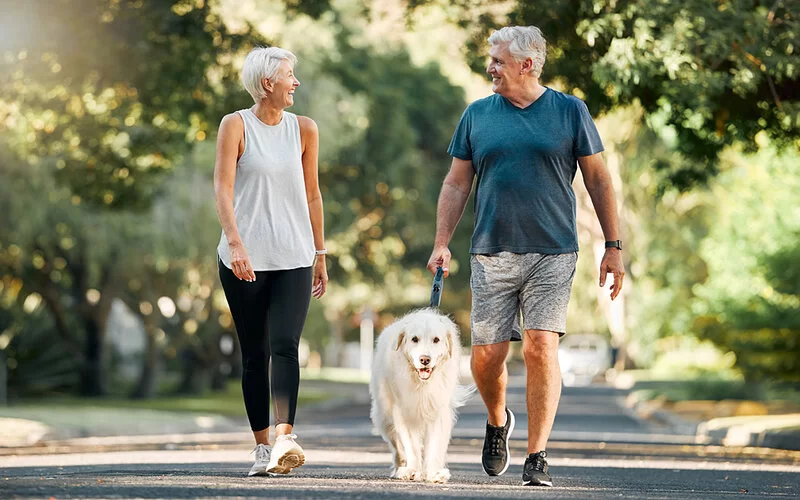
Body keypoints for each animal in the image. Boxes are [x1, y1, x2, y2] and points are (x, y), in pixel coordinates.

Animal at [370, 306, 476, 482]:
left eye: (436, 340)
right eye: (414, 339)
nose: (425, 359)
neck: (422, 384)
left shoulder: (438, 412)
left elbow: (435, 445)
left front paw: (434, 473)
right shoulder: (404, 412)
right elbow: (410, 445)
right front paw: (412, 470)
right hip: (385, 416)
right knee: (397, 446)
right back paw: (401, 467)